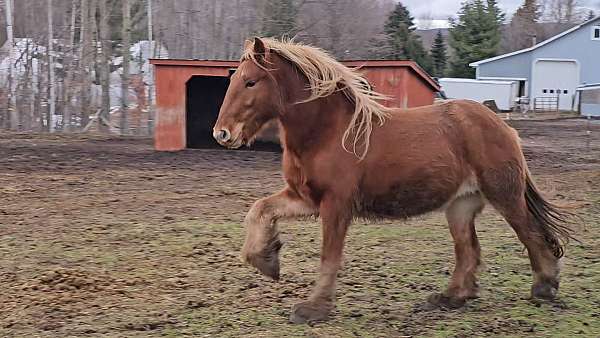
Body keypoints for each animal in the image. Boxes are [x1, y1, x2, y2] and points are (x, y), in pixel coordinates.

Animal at [213, 37, 576, 324]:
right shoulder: (305, 198)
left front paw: (314, 309)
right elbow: (259, 209)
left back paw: (544, 287)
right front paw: (267, 259)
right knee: (468, 250)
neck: (328, 133)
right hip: (460, 205)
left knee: (531, 235)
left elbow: (329, 256)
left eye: (250, 82)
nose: (222, 133)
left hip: (504, 196)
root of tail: (504, 127)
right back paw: (451, 298)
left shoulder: (336, 205)